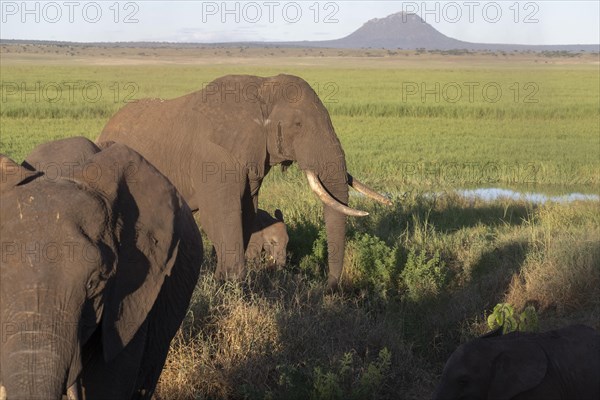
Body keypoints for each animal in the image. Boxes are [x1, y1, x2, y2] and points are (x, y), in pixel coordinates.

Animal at [101, 73, 392, 290]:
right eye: (297, 125)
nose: (328, 287)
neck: (262, 89)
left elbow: (247, 210)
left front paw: (225, 282)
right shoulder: (213, 156)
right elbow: (220, 213)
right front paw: (232, 284)